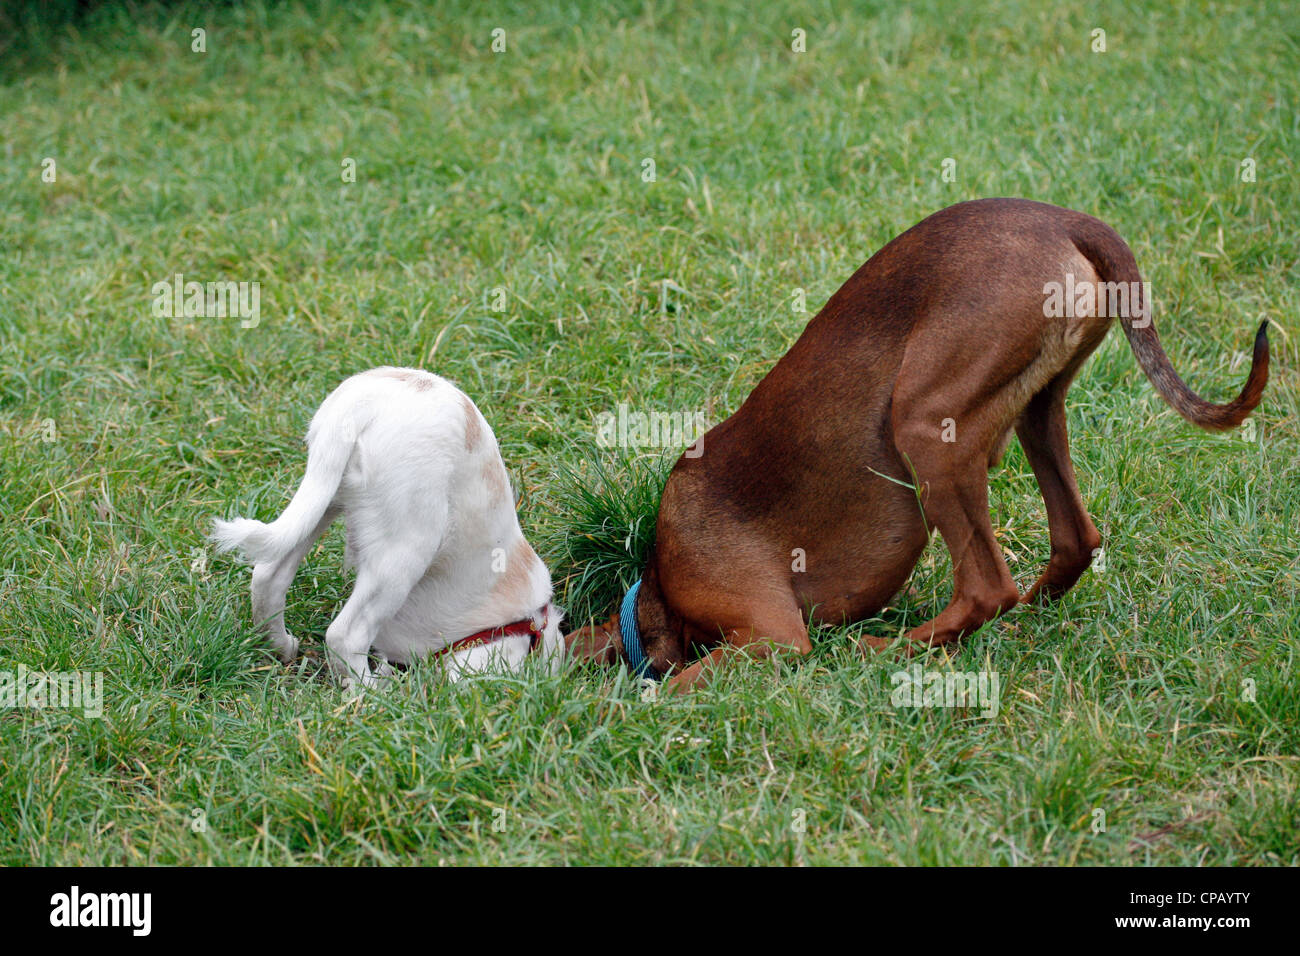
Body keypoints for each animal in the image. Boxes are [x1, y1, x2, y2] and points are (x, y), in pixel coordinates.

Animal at [210, 366, 561, 686]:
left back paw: (280, 648)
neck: (524, 622)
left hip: (324, 497)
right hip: (405, 548)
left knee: (268, 576)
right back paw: (373, 694)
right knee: (345, 635)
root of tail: (366, 400)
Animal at [569, 200, 1268, 697]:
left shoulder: (772, 636)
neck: (657, 588)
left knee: (988, 587)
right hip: (1036, 413)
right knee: (1071, 543)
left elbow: (664, 690)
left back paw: (888, 650)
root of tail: (1068, 219)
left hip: (925, 425)